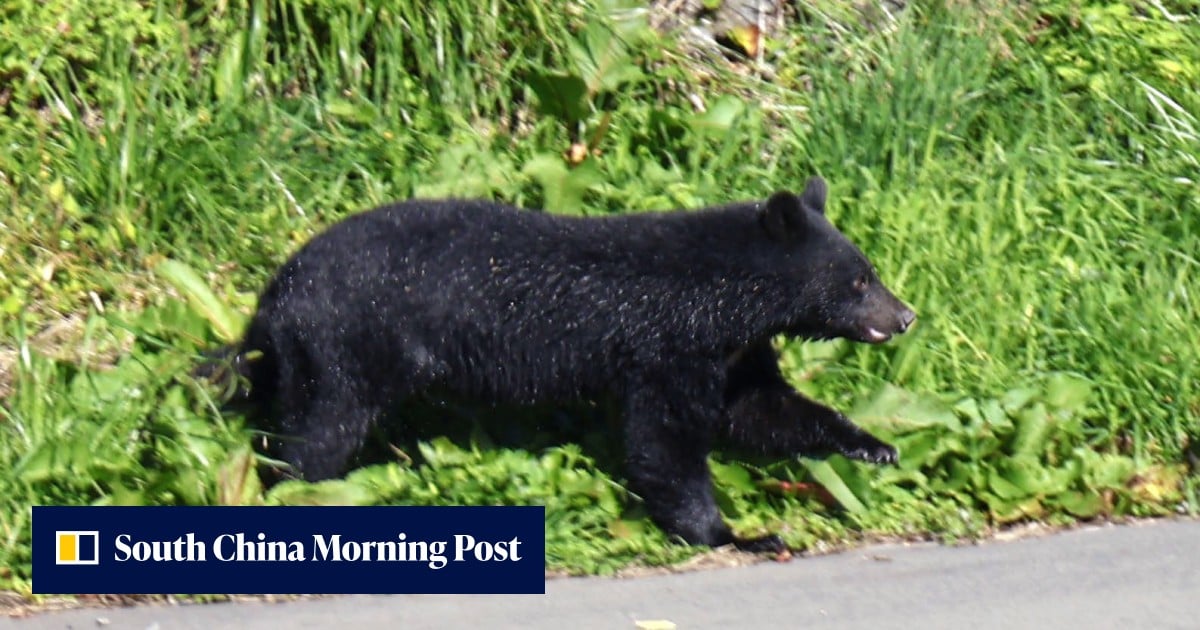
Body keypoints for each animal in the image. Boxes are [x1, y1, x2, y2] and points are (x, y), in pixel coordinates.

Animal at [221, 176, 915, 553]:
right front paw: (732, 534)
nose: (905, 315)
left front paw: (873, 445)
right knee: (317, 434)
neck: (723, 297)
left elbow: (761, 409)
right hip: (344, 345)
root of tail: (273, 296)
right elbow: (664, 443)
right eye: (858, 280)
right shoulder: (666, 347)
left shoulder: (733, 352)